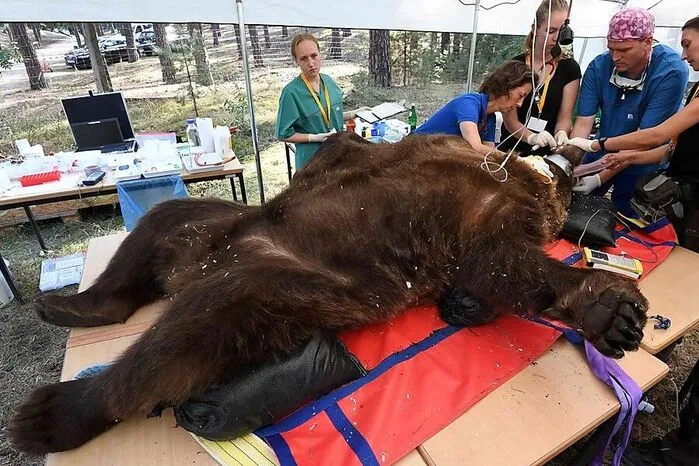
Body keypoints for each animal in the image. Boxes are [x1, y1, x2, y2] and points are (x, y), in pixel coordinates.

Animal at [9, 133, 648, 455]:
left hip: (286, 281)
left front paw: (610, 309)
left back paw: (54, 415)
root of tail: (197, 269)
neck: (515, 175)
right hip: (216, 228)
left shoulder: (492, 223)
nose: (568, 154)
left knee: (192, 329)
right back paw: (74, 303)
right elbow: (349, 149)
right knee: (159, 223)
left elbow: (499, 265)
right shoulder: (444, 155)